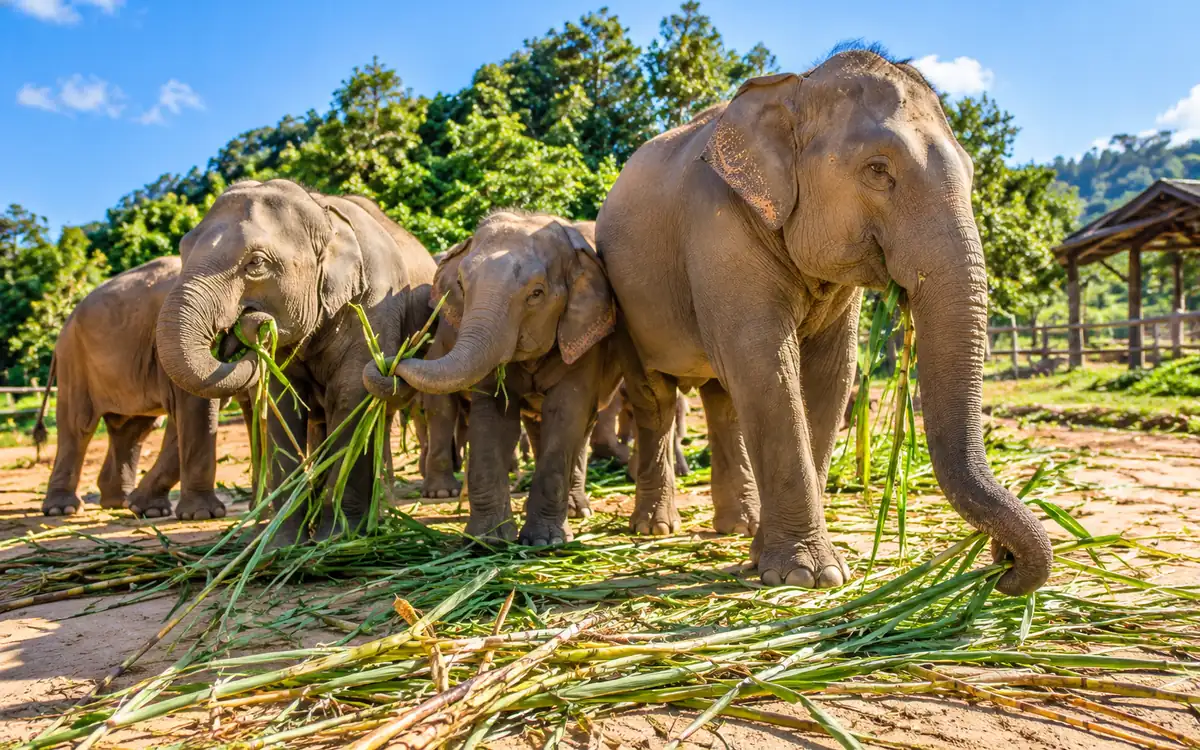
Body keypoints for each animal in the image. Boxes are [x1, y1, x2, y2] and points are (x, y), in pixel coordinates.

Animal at [34, 256, 237, 520]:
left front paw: (146, 508)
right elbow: (195, 408)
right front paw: (202, 515)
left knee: (132, 428)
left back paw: (120, 502)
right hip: (74, 360)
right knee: (78, 424)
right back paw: (63, 509)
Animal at [155, 180, 454, 542]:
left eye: (256, 263)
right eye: (183, 251)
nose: (251, 327)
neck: (322, 215)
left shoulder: (376, 306)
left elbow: (352, 394)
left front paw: (335, 538)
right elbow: (283, 404)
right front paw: (282, 542)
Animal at [363, 212, 620, 546]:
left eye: (536, 294)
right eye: (460, 285)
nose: (389, 364)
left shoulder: (582, 340)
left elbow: (566, 412)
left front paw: (545, 542)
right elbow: (493, 416)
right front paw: (487, 540)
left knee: (579, 425)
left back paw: (578, 511)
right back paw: (442, 493)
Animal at [595, 48, 1053, 594]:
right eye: (878, 169)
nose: (1001, 561)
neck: (796, 87)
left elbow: (830, 374)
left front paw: (767, 562)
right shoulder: (717, 228)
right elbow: (767, 364)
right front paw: (808, 575)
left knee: (722, 401)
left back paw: (738, 527)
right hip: (625, 305)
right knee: (657, 399)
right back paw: (655, 528)